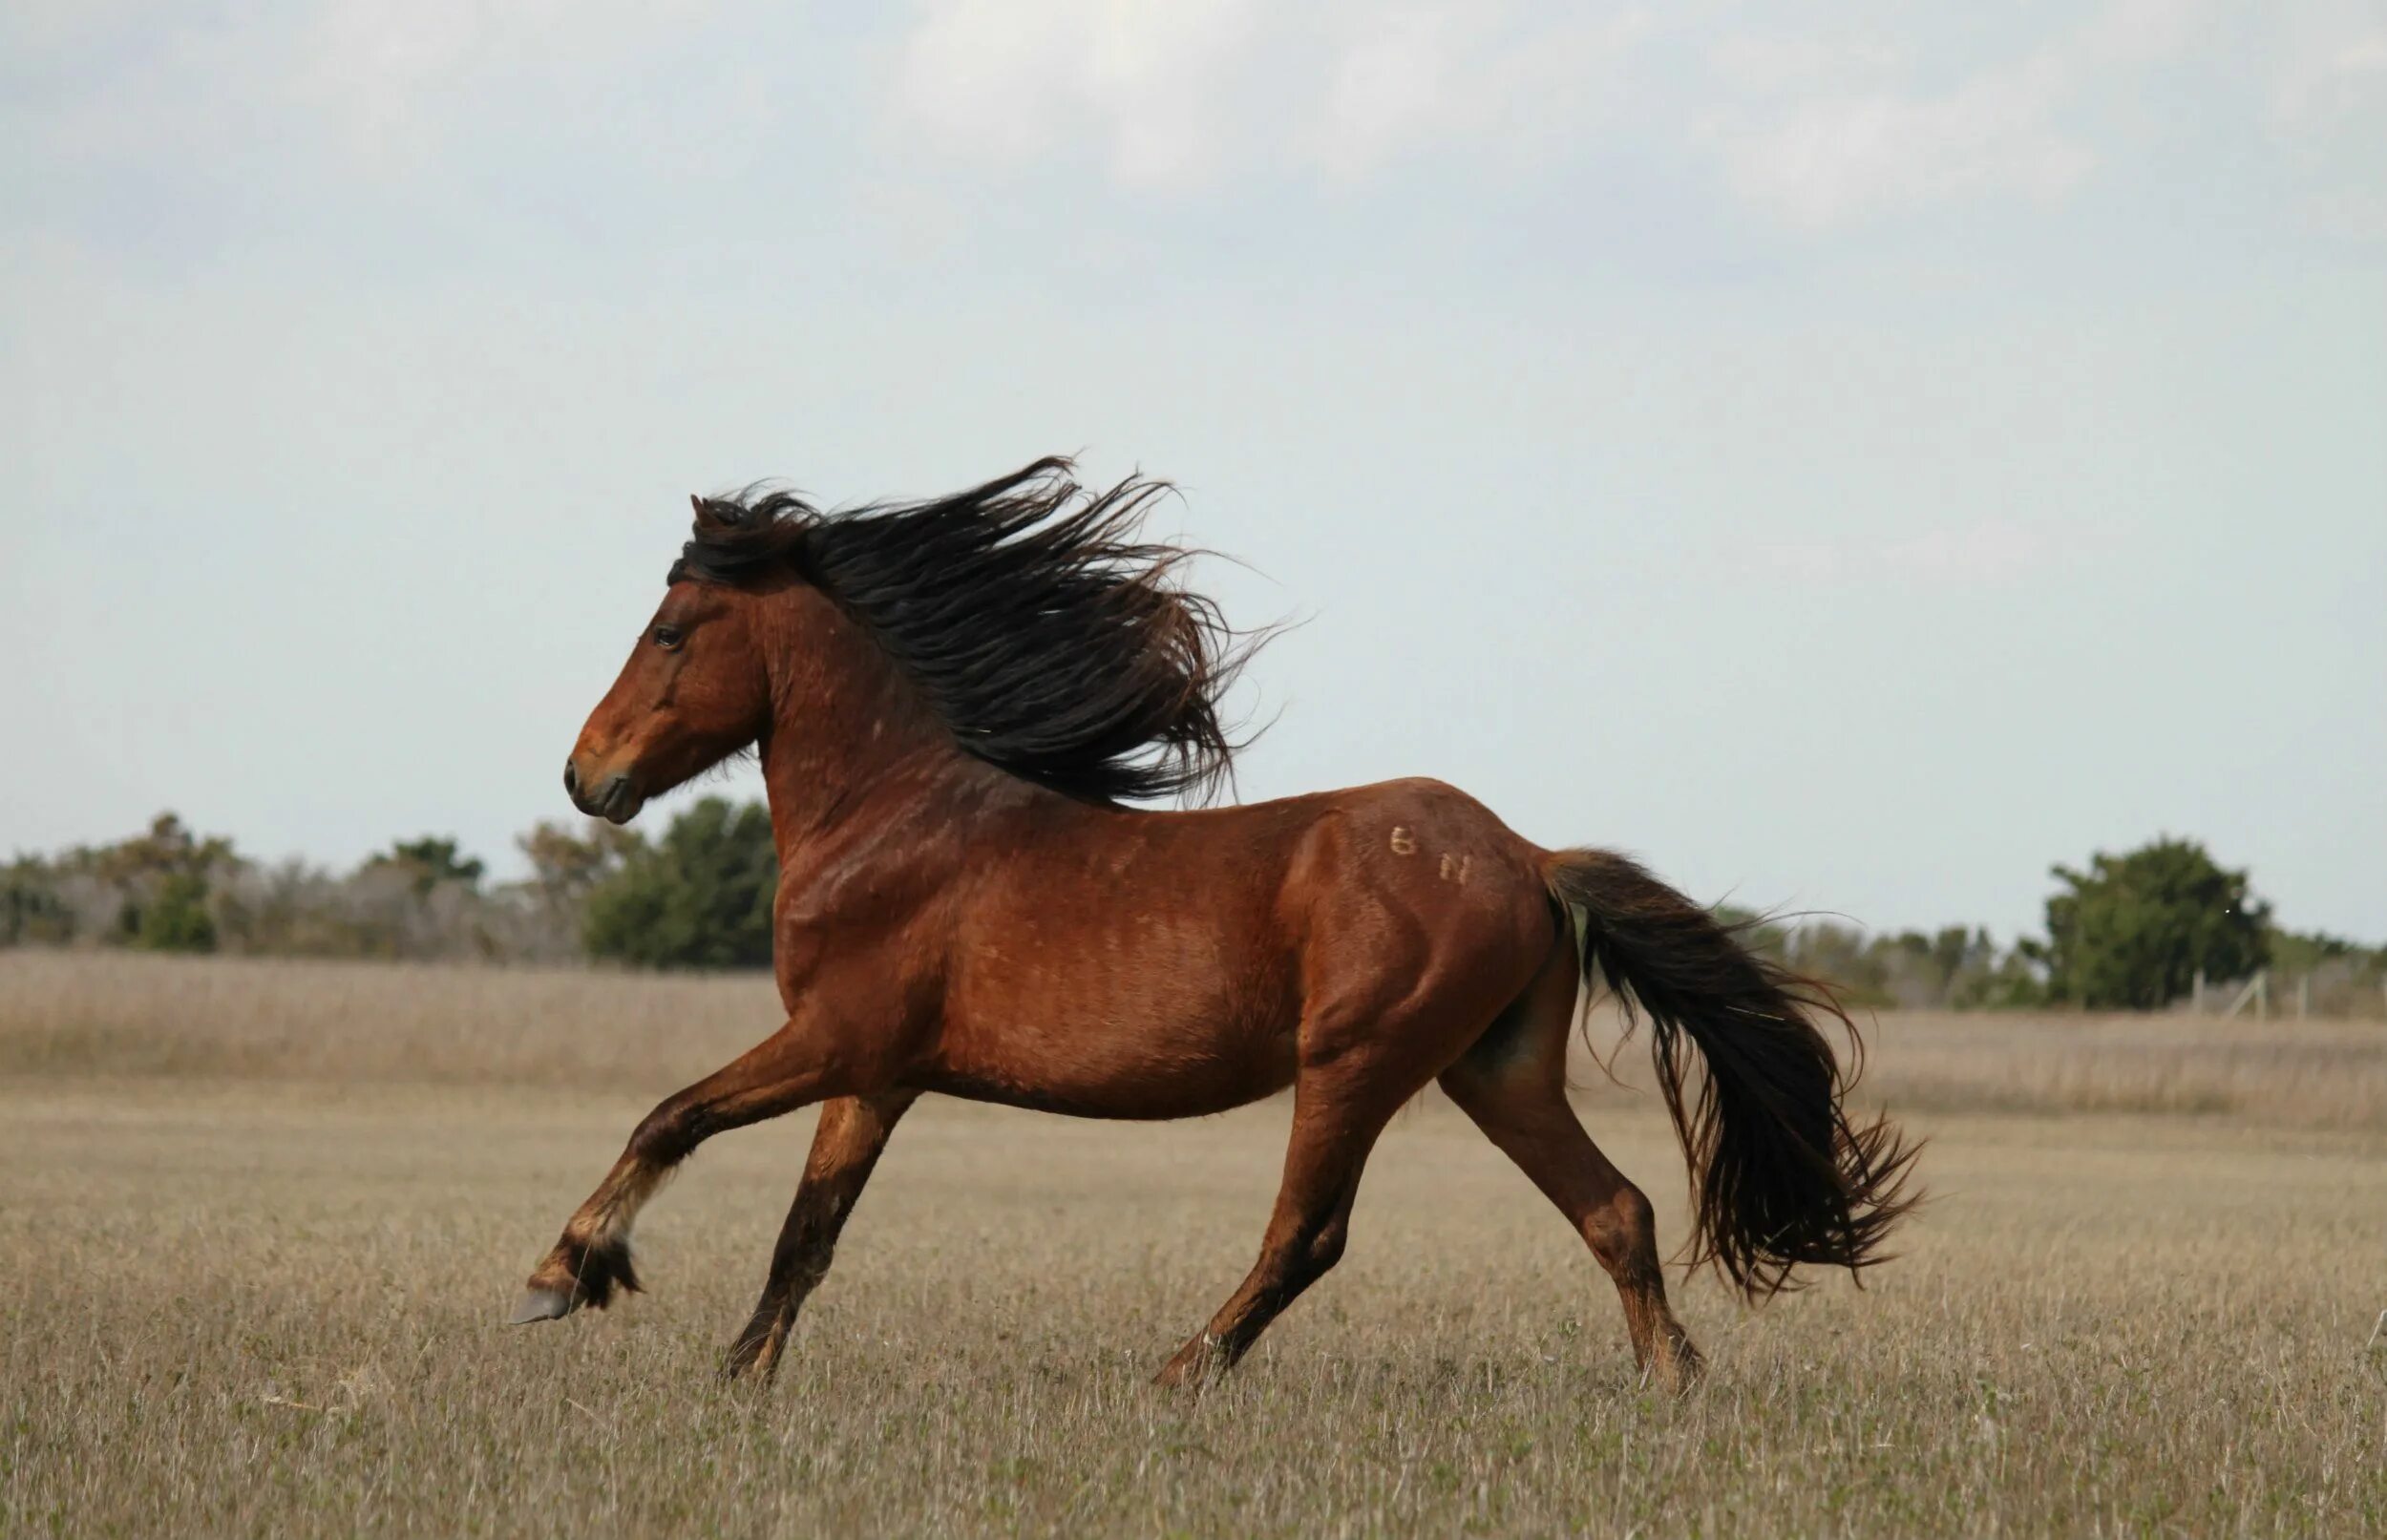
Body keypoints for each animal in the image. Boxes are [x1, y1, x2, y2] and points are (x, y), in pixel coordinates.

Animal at [513, 451, 1910, 1384]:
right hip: (1495, 1069)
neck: (890, 821)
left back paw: (1180, 1371)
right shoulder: (877, 1075)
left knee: (1310, 1233)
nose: (586, 775)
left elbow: (670, 1117)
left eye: (670, 629)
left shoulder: (837, 1039)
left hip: (1355, 1061)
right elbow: (806, 1235)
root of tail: (1524, 854)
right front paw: (737, 1375)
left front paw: (561, 1275)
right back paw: (1674, 1383)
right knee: (1615, 1209)